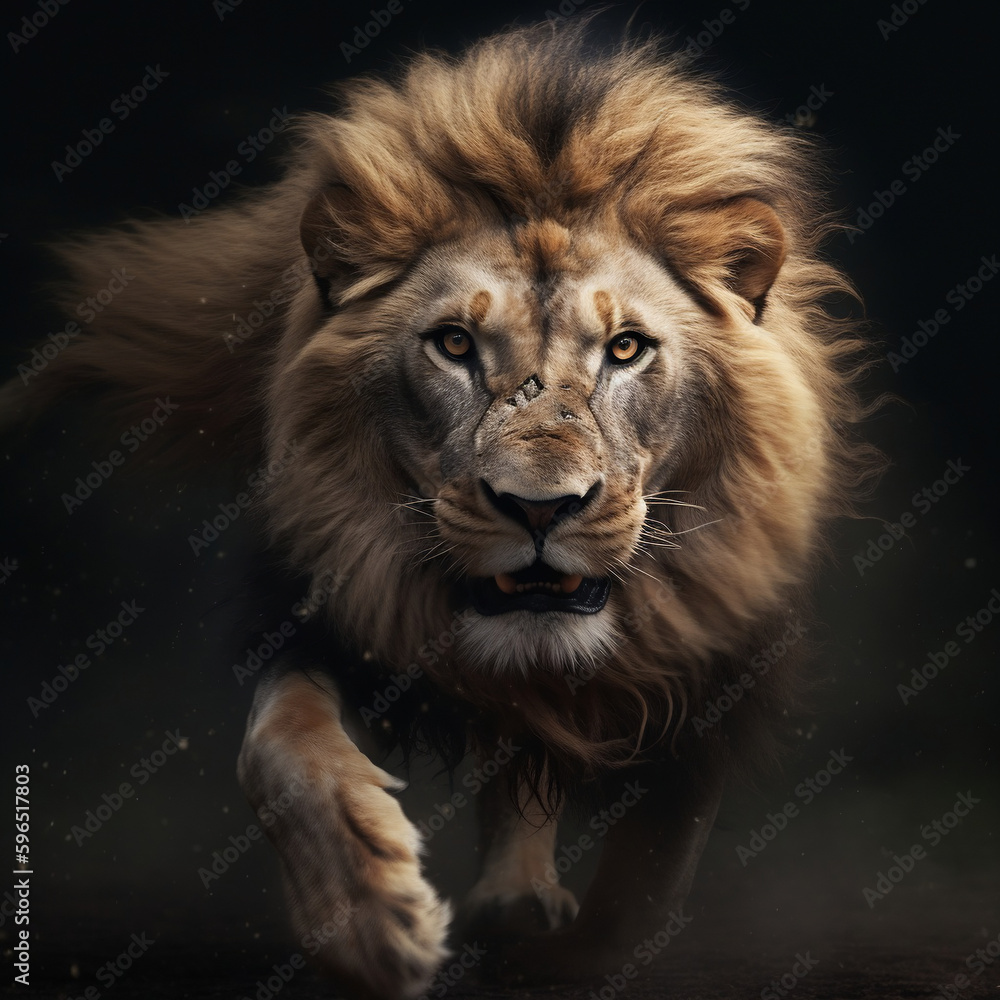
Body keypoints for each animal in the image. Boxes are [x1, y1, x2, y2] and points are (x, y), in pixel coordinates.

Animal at [9, 21, 878, 1000]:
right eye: (455, 344)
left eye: (626, 349)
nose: (540, 508)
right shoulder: (324, 610)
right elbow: (279, 747)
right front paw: (370, 919)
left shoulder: (719, 676)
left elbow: (646, 878)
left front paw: (576, 953)